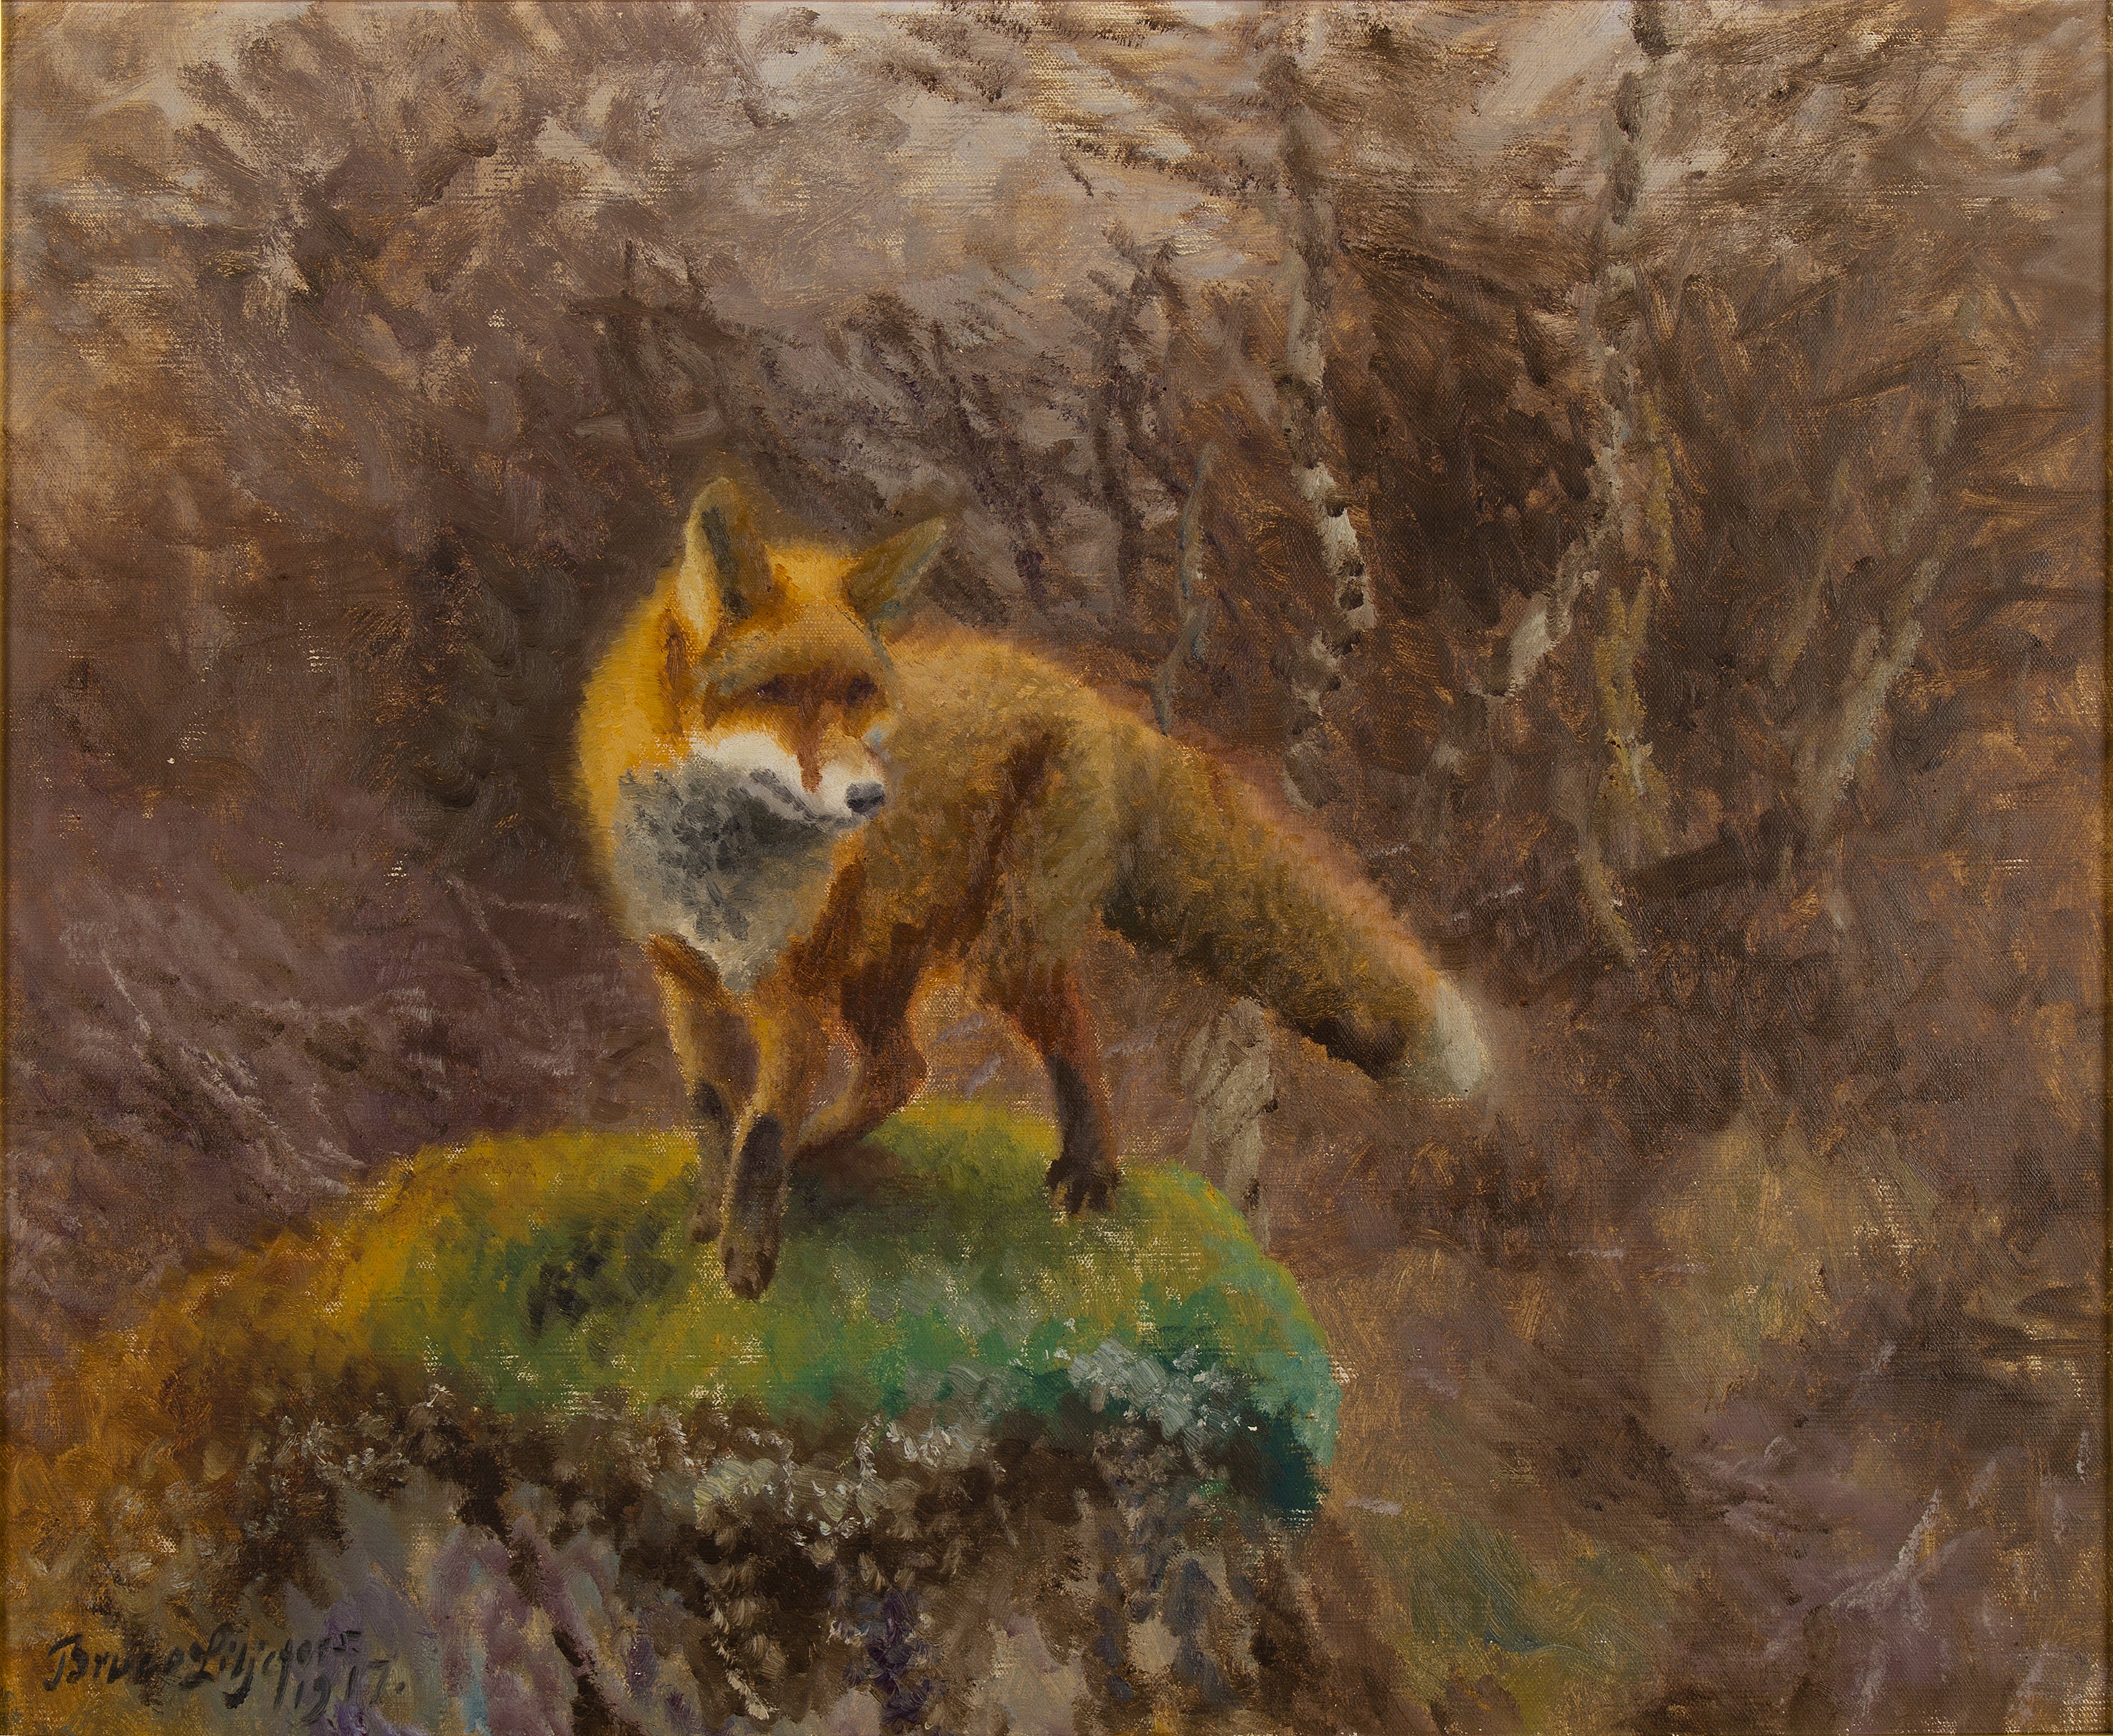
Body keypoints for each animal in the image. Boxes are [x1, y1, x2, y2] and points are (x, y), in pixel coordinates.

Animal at [577, 478, 1490, 1297]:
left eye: (862, 695)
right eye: (776, 694)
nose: (871, 799)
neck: (717, 866)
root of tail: (1092, 699)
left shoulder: (790, 998)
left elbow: (762, 1132)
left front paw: (748, 1257)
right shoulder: (683, 977)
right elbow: (712, 1111)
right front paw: (709, 1219)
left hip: (1003, 951)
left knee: (1069, 1039)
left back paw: (1090, 1173)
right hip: (881, 964)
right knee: (901, 1070)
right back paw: (830, 1144)